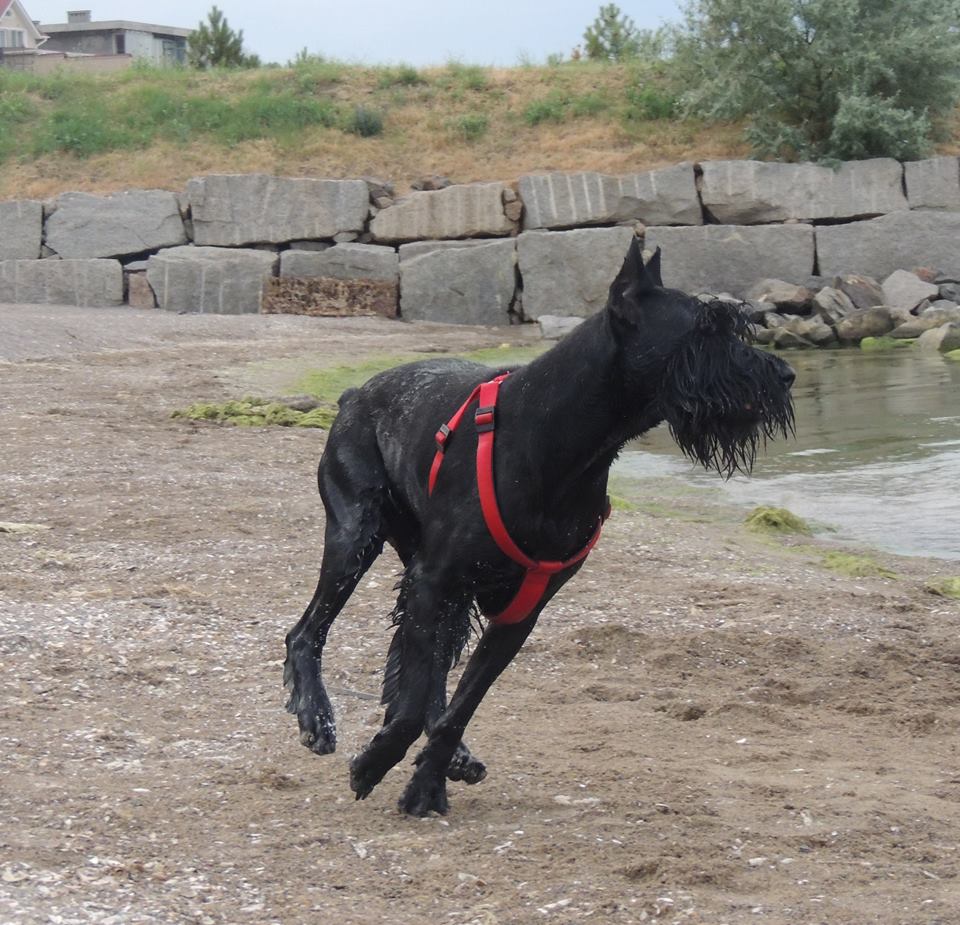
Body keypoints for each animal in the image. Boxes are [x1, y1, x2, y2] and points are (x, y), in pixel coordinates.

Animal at [283, 239, 795, 816]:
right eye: (706, 329)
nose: (785, 376)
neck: (565, 441)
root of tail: (355, 392)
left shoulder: (519, 612)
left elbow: (458, 705)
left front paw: (426, 783)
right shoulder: (434, 580)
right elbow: (414, 703)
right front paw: (374, 765)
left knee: (424, 674)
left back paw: (452, 756)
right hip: (355, 537)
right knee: (308, 632)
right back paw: (316, 717)